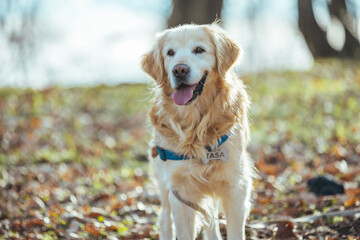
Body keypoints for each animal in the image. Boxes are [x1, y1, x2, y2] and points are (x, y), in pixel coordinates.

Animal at [142, 23, 255, 240]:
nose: (179, 69)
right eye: (170, 53)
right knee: (165, 219)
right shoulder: (180, 193)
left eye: (199, 50)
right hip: (164, 185)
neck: (197, 126)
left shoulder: (235, 187)